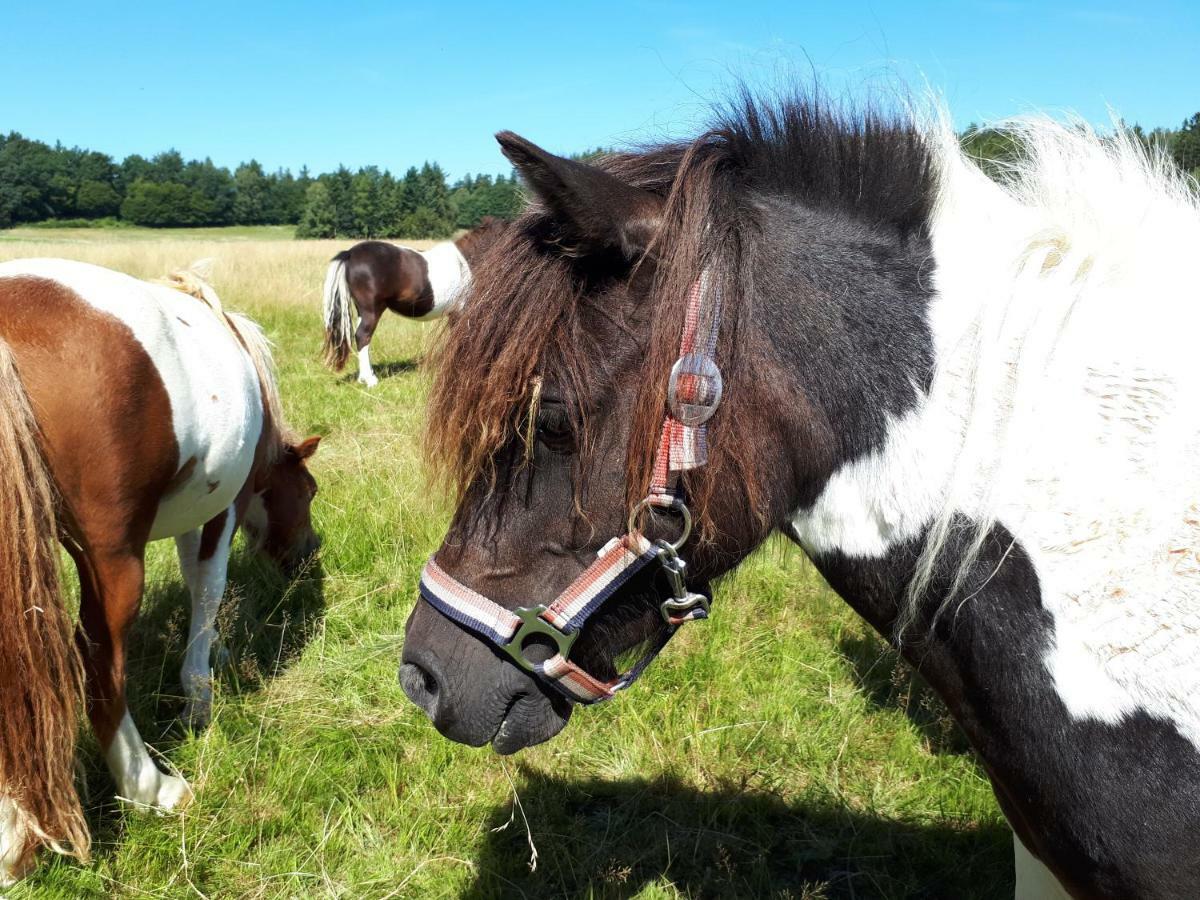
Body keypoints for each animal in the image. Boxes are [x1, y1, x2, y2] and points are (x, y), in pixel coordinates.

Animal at [0, 259, 321, 888]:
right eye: (310, 491)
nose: (304, 555)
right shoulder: (223, 508)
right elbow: (208, 586)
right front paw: (200, 690)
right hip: (112, 559)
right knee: (98, 657)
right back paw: (148, 787)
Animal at [319, 219, 506, 391]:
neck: (466, 263)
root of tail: (350, 253)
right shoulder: (462, 310)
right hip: (371, 310)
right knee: (363, 336)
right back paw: (370, 380)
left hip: (362, 311)